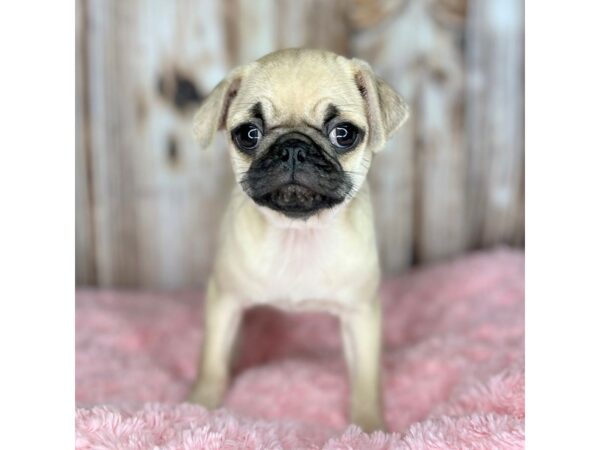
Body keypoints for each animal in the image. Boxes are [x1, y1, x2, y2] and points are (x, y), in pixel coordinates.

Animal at [190, 47, 410, 430]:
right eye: (248, 134)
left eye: (343, 134)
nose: (292, 148)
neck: (298, 234)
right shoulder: (224, 300)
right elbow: (212, 361)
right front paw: (199, 405)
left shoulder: (361, 313)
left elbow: (366, 381)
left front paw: (369, 427)